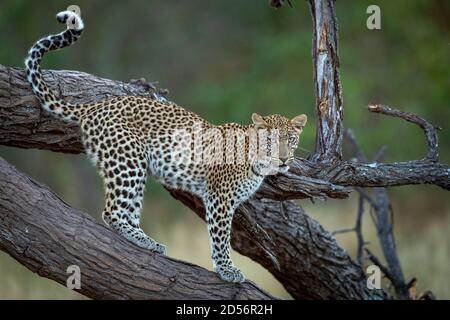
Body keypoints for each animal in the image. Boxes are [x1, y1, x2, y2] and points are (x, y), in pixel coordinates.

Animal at [24, 9, 306, 282]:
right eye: (270, 141)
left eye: (291, 140)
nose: (283, 160)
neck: (255, 162)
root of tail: (97, 106)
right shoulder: (220, 199)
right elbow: (220, 237)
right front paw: (227, 270)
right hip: (127, 162)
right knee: (111, 211)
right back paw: (142, 240)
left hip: (134, 169)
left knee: (128, 210)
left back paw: (148, 241)